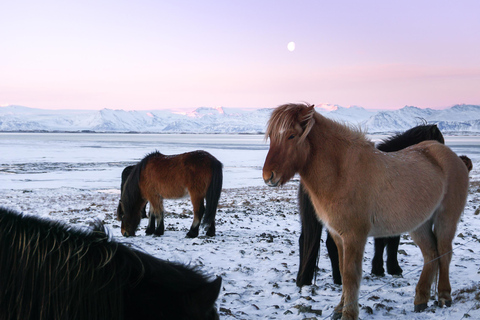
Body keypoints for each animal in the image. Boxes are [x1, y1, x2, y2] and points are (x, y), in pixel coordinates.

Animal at [296, 124, 446, 286]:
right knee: (331, 244)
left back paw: (305, 280)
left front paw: (379, 269)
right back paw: (339, 278)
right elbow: (392, 241)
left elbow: (381, 242)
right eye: (439, 143)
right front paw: (393, 269)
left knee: (305, 241)